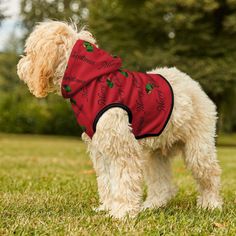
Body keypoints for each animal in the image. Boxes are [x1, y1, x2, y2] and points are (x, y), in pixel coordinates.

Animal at [17, 21, 223, 218]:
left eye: (30, 52)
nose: (20, 66)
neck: (90, 82)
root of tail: (192, 83)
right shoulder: (101, 149)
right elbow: (107, 181)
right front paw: (108, 208)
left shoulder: (121, 147)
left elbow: (123, 181)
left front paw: (122, 212)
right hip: (155, 155)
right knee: (162, 185)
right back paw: (152, 205)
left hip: (198, 149)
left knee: (210, 176)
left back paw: (211, 204)